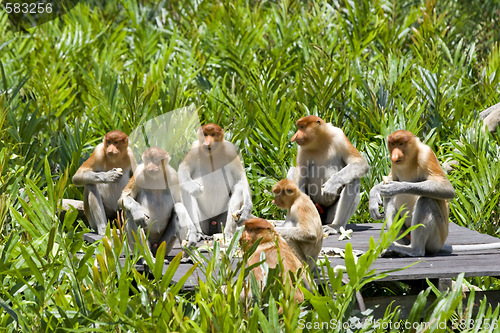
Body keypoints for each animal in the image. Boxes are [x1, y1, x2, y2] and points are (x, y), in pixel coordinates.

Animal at [370, 131, 500, 255]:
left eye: (401, 144)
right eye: (393, 144)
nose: (394, 155)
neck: (410, 159)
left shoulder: (426, 155)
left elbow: (447, 189)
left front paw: (397, 187)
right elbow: (389, 179)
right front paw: (374, 196)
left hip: (437, 236)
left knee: (425, 200)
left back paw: (413, 250)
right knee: (389, 199)